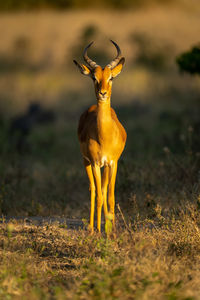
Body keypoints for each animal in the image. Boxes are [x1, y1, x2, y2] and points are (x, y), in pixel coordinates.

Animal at [73, 40, 126, 232]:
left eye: (111, 78)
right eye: (94, 78)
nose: (102, 93)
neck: (104, 137)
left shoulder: (113, 163)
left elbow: (110, 196)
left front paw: (111, 231)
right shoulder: (96, 163)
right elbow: (99, 196)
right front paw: (98, 229)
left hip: (104, 167)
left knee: (102, 190)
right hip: (86, 162)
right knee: (93, 190)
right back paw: (91, 226)